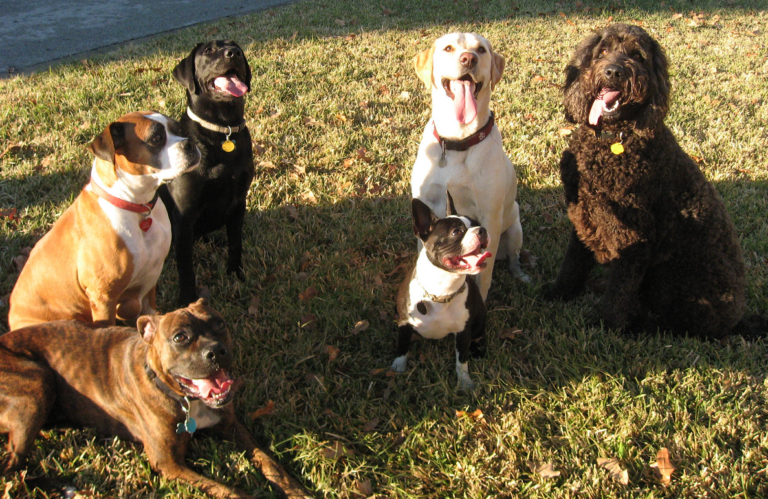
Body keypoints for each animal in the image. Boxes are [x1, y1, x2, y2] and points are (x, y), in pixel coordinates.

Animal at [8, 113, 200, 332]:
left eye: (179, 130)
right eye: (156, 138)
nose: (190, 143)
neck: (136, 206)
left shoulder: (150, 280)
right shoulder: (104, 298)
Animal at [160, 40, 256, 304]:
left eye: (237, 48)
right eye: (208, 51)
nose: (233, 53)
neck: (222, 130)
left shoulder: (239, 202)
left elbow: (235, 243)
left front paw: (236, 274)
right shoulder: (183, 216)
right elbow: (185, 266)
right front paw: (187, 300)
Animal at [414, 34, 528, 300]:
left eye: (481, 50)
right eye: (448, 48)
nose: (469, 59)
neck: (457, 140)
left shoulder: (490, 216)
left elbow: (483, 276)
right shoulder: (426, 201)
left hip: (514, 229)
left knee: (514, 257)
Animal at [544, 22, 752, 336]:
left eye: (637, 56)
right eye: (602, 52)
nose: (614, 72)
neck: (613, 140)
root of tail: (737, 320)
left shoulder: (635, 236)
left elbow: (619, 291)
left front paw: (607, 326)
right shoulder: (584, 213)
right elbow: (573, 263)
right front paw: (559, 294)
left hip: (670, 276)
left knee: (678, 325)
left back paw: (637, 325)